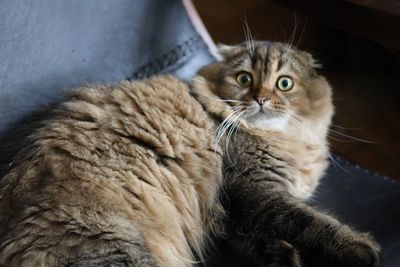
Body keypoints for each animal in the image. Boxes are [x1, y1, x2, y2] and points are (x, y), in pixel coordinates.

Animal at [0, 40, 380, 266]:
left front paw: (282, 257)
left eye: (284, 83)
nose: (260, 99)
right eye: (244, 79)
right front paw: (359, 249)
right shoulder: (255, 193)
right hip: (113, 245)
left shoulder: (230, 212)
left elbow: (257, 238)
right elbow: (309, 222)